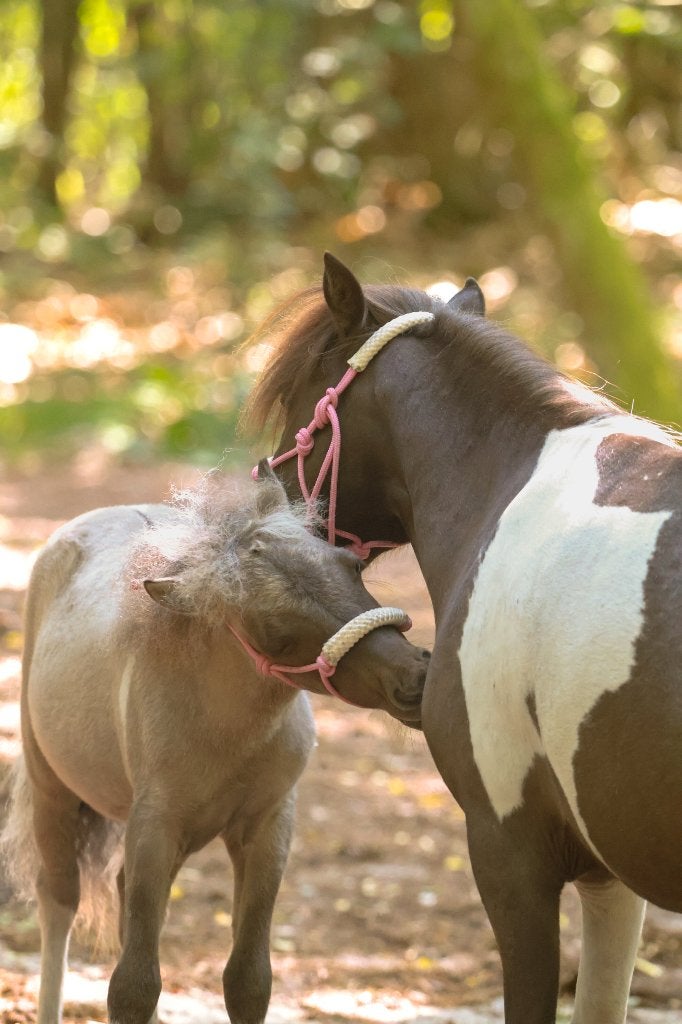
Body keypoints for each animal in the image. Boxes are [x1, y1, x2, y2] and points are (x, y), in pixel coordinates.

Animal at [0, 460, 429, 1024]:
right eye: (274, 633)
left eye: (352, 566)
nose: (413, 678)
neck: (227, 730)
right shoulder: (156, 826)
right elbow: (134, 985)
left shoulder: (267, 828)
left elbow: (248, 980)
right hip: (53, 790)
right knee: (59, 903)